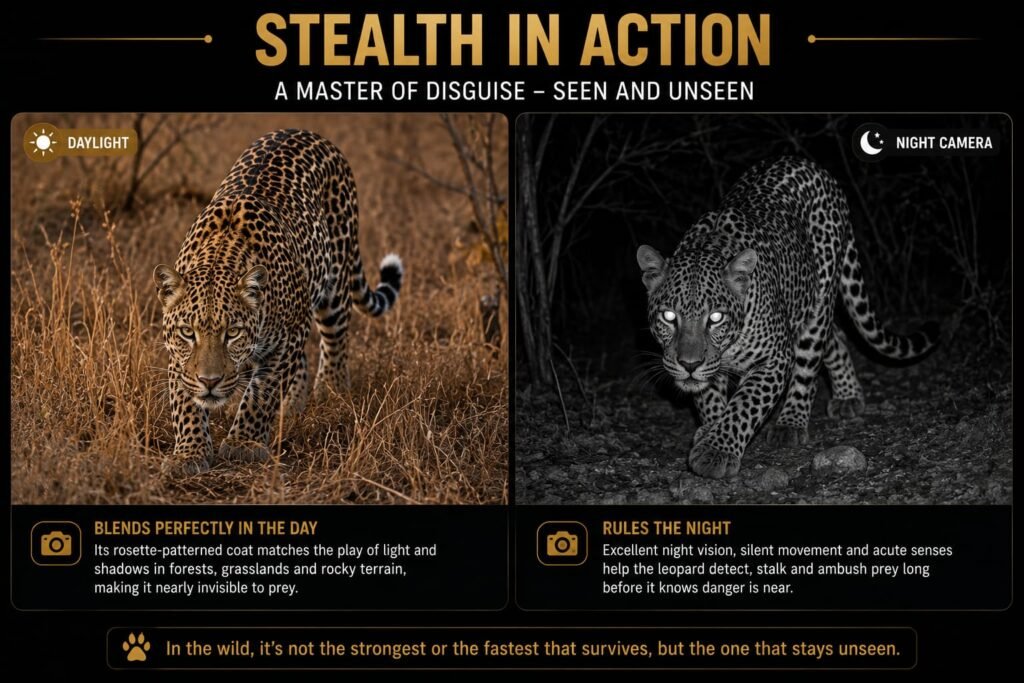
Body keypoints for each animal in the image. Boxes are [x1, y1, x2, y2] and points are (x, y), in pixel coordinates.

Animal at [154, 129, 403, 474]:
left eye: (232, 333)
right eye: (188, 333)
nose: (210, 382)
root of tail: (310, 134)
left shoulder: (286, 340)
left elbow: (262, 393)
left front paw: (243, 443)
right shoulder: (178, 357)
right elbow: (186, 403)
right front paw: (189, 453)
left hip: (334, 283)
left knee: (335, 343)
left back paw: (331, 393)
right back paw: (293, 407)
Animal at [637, 156, 938, 479]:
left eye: (715, 317)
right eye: (669, 316)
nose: (689, 365)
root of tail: (807, 163)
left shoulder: (774, 358)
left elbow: (744, 404)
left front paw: (717, 451)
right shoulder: (711, 367)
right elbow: (710, 399)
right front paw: (710, 431)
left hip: (819, 302)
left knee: (810, 363)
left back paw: (792, 422)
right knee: (837, 338)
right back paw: (847, 396)